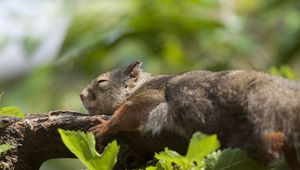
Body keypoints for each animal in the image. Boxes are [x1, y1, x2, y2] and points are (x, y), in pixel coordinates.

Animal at [79, 60, 300, 169]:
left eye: (101, 82)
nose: (81, 95)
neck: (139, 86)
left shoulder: (152, 95)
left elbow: (131, 111)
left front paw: (105, 125)